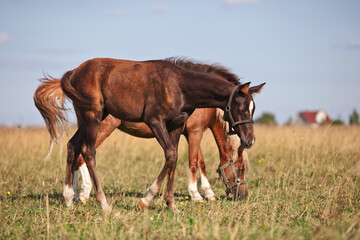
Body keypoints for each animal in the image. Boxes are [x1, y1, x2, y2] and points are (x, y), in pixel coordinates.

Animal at [33, 57, 264, 212]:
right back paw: (101, 202)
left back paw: (69, 197)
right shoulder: (166, 124)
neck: (180, 86)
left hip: (86, 119)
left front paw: (171, 204)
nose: (250, 140)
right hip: (95, 119)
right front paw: (149, 199)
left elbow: (175, 159)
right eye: (242, 108)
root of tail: (73, 72)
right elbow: (186, 160)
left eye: (253, 109)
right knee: (87, 152)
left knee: (73, 146)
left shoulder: (177, 127)